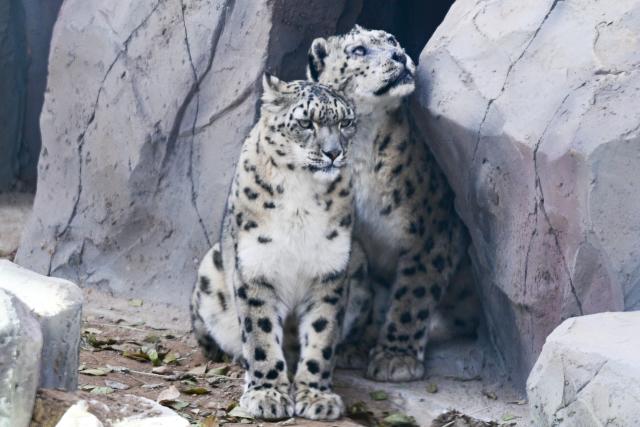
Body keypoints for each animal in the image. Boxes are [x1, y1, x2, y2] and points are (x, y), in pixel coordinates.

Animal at [189, 73, 369, 420]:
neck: (302, 193)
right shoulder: (257, 267)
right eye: (306, 122)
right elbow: (260, 333)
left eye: (346, 122)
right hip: (209, 273)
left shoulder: (330, 270)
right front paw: (267, 394)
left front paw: (316, 396)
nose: (333, 152)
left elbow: (322, 334)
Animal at [307, 25, 480, 382]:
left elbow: (414, 291)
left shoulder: (432, 231)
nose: (399, 56)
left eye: (392, 41)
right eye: (358, 50)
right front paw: (354, 344)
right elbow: (360, 289)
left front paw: (396, 357)